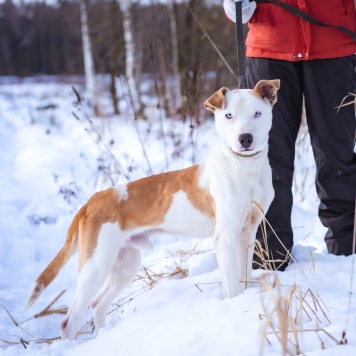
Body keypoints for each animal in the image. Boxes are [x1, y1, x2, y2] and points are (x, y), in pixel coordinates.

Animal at [26, 78, 280, 340]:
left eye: (257, 113)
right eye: (229, 115)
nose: (245, 138)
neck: (244, 167)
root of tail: (90, 202)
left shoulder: (247, 233)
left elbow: (244, 276)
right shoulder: (225, 237)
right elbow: (231, 285)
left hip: (125, 264)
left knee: (97, 304)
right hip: (96, 265)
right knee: (70, 320)